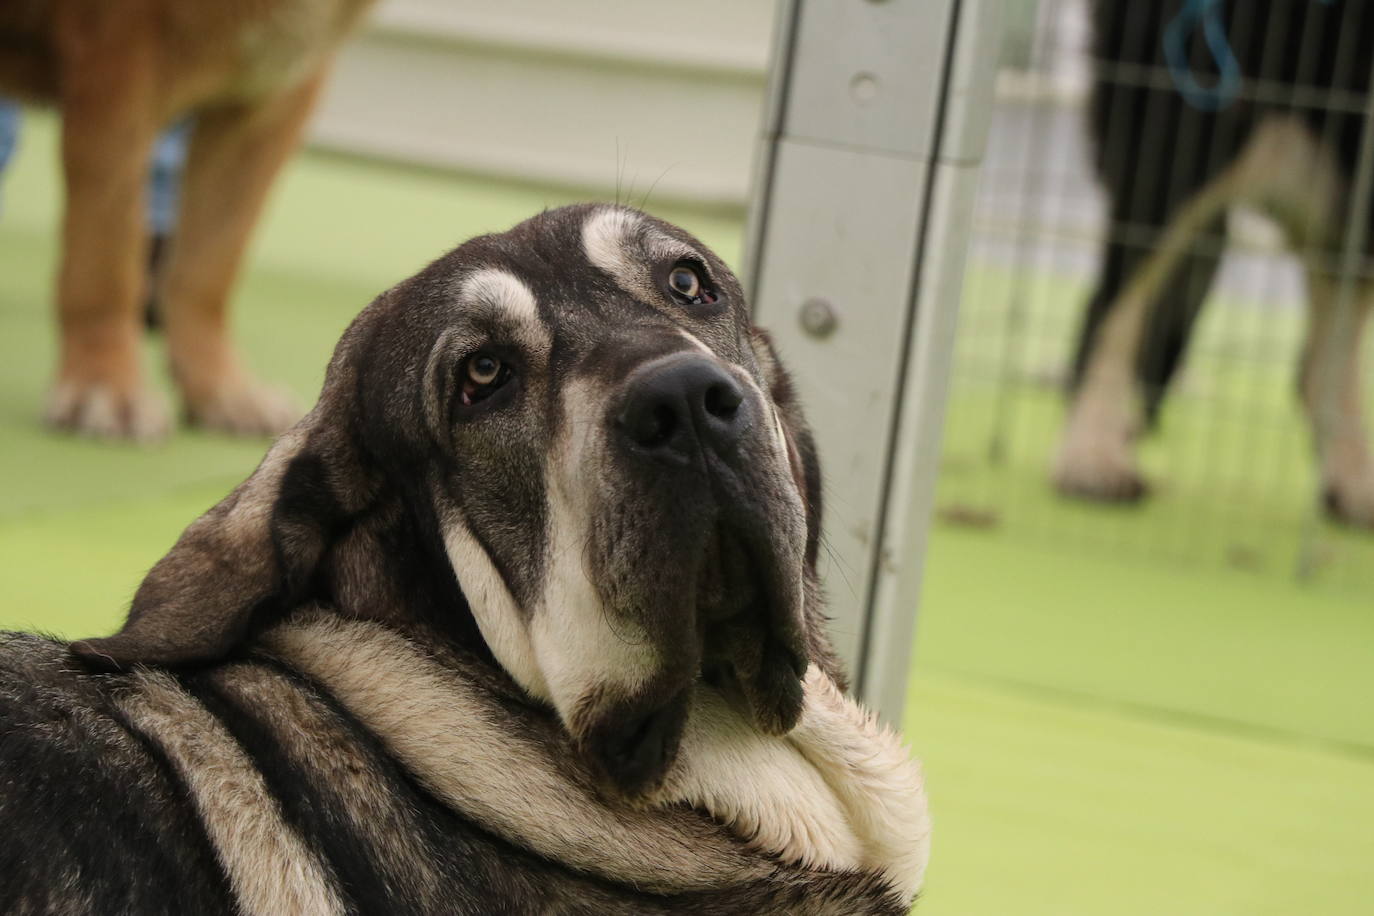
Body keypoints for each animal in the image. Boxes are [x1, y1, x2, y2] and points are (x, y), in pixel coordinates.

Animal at [0, 0, 376, 444]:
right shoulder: (120, 68)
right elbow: (109, 257)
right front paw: (105, 383)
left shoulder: (269, 95)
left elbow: (209, 268)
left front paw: (222, 388)